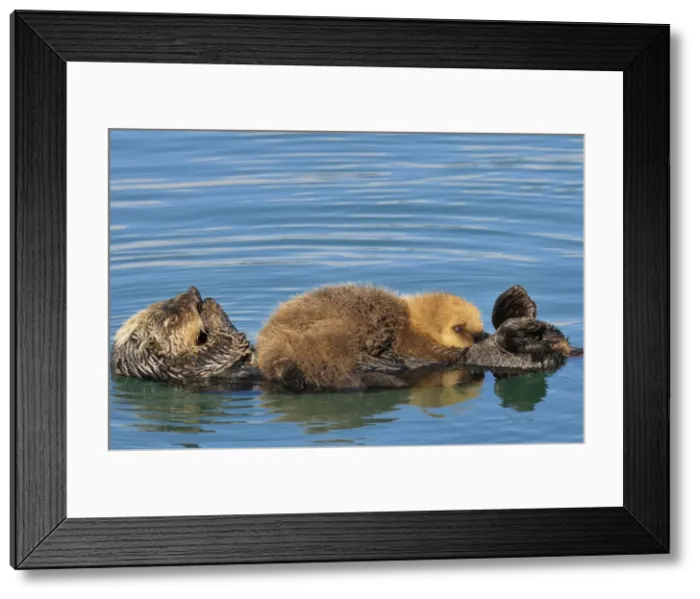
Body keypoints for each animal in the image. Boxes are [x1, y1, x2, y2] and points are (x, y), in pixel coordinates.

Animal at [110, 286, 255, 382]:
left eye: (169, 300)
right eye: (173, 318)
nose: (193, 290)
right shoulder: (197, 364)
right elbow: (226, 342)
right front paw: (210, 307)